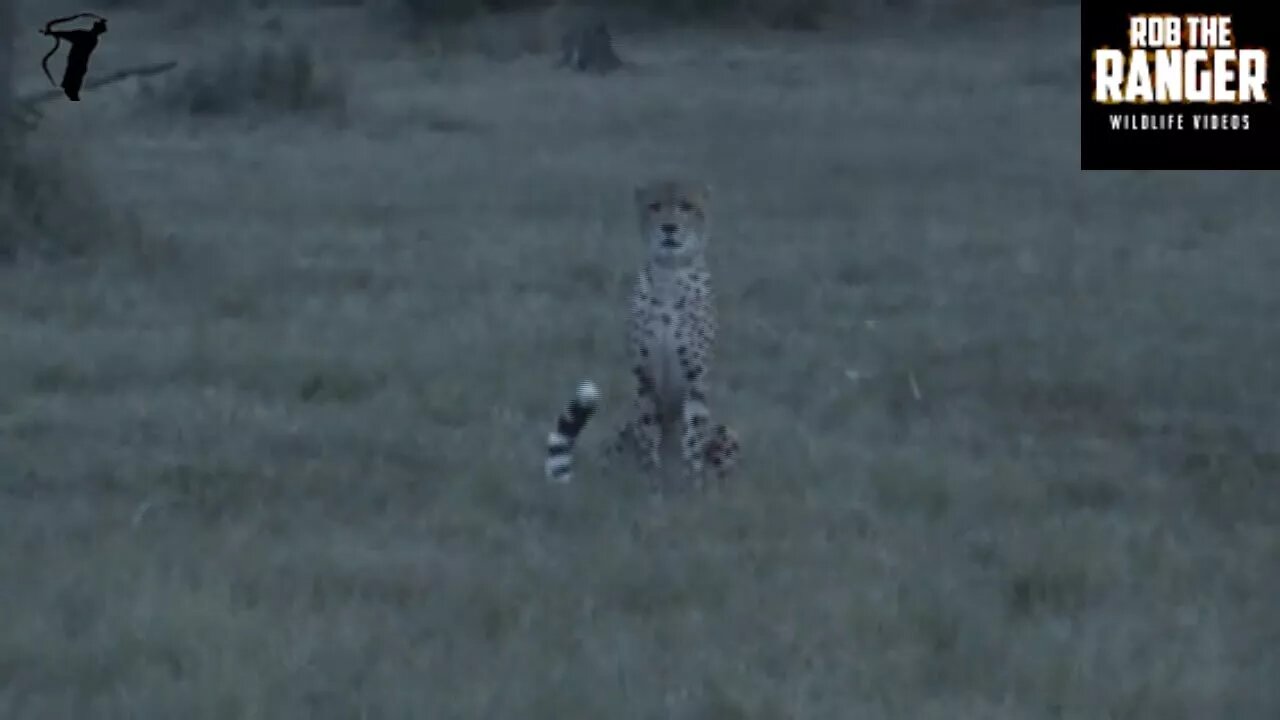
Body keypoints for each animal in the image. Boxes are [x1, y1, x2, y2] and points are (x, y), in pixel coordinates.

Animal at [542, 176, 742, 484]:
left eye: (686, 207)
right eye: (655, 206)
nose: (669, 227)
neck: (670, 276)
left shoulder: (696, 379)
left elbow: (694, 435)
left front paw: (691, 482)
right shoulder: (644, 378)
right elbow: (648, 432)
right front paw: (651, 479)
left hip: (726, 433)